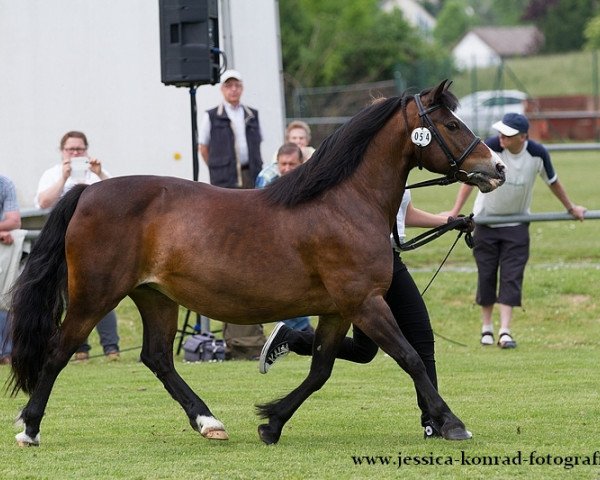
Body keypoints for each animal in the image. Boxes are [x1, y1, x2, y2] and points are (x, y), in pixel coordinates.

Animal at [9, 81, 506, 446]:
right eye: (452, 123)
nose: (497, 168)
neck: (345, 202)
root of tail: (87, 190)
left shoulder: (338, 310)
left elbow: (321, 370)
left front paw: (271, 422)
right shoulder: (364, 303)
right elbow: (410, 357)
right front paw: (451, 422)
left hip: (155, 296)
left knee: (158, 358)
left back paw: (208, 422)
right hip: (95, 296)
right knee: (58, 352)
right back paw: (30, 428)